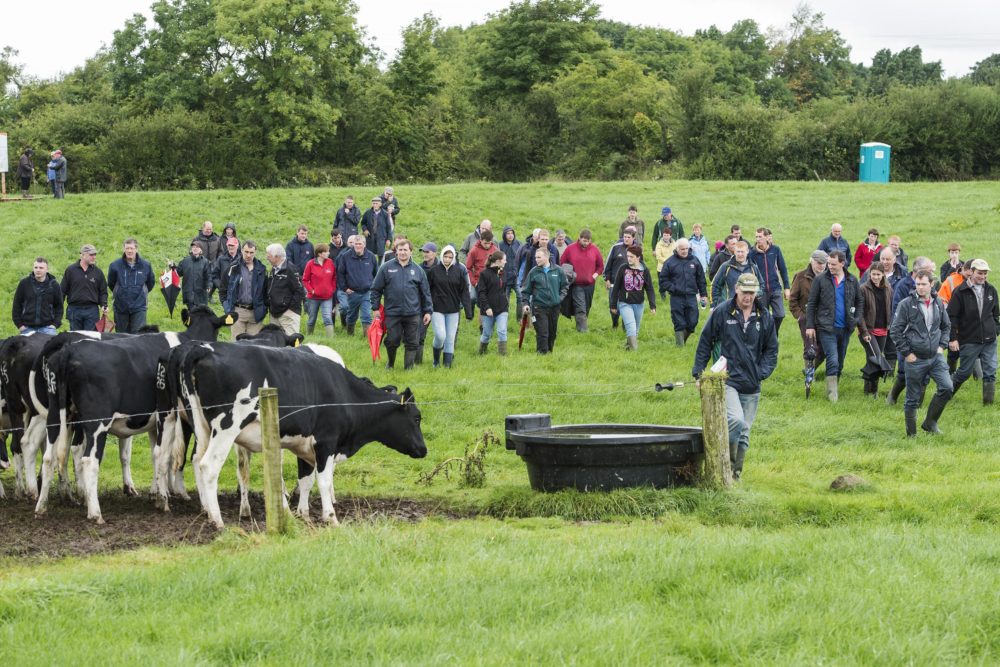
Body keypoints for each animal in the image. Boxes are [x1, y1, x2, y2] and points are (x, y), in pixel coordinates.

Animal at [36, 306, 236, 524]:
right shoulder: (179, 419)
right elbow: (175, 455)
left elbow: (156, 454)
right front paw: (175, 493)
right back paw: (94, 511)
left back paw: (43, 507)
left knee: (50, 457)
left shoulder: (157, 421)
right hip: (96, 422)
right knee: (87, 458)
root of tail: (68, 350)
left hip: (56, 415)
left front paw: (157, 491)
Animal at [179, 344, 426, 528]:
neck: (345, 393)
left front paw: (303, 514)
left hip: (202, 428)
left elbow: (306, 480)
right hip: (226, 429)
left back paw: (207, 511)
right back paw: (218, 520)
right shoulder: (326, 443)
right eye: (416, 418)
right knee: (209, 466)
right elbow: (324, 481)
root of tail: (205, 350)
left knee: (196, 461)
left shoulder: (304, 447)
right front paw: (331, 517)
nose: (424, 449)